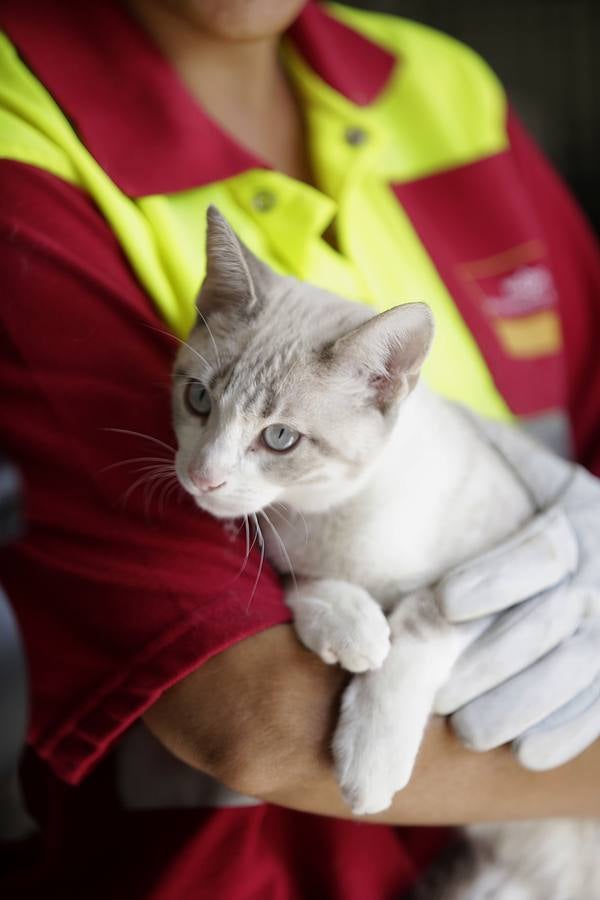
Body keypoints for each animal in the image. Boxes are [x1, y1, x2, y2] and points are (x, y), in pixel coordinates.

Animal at [171, 207, 596, 896]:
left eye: (280, 438)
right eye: (199, 399)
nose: (202, 477)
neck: (339, 511)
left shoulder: (512, 547)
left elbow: (430, 614)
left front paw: (372, 755)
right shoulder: (287, 546)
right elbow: (301, 579)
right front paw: (349, 623)